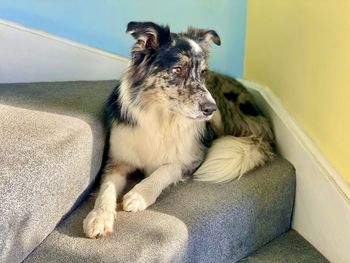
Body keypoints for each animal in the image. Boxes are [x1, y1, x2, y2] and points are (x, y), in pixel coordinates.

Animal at [82, 21, 274, 239]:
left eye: (203, 72)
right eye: (177, 69)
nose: (210, 108)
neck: (162, 119)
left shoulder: (193, 158)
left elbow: (166, 169)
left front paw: (139, 195)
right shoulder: (117, 161)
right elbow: (106, 189)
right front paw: (98, 217)